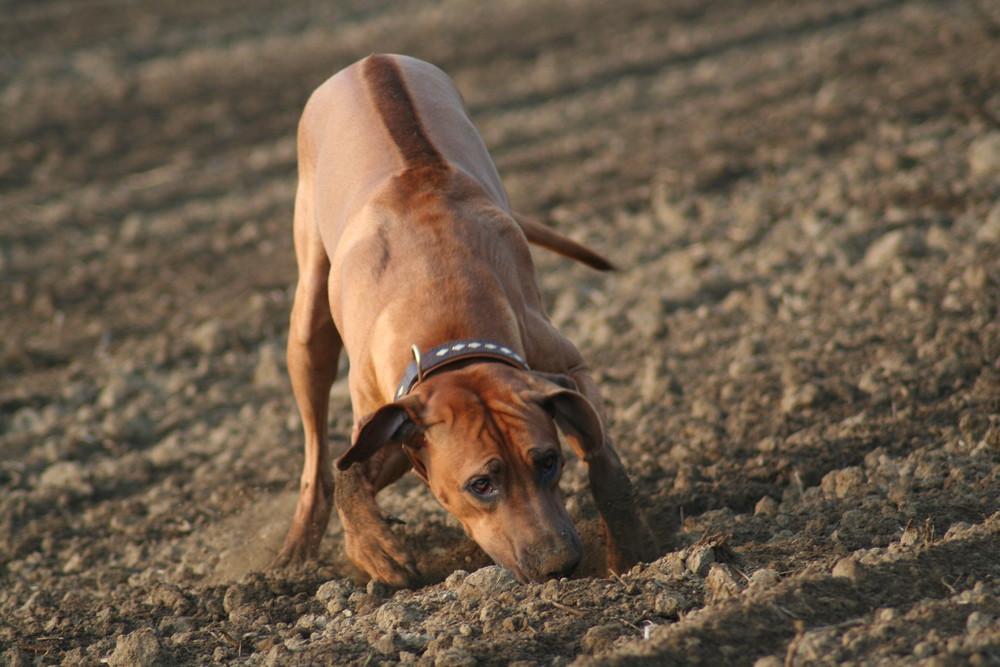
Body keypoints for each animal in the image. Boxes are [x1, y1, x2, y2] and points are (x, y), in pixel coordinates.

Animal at [274, 53, 652, 584]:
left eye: (549, 462)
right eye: (482, 485)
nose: (559, 565)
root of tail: (372, 59)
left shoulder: (561, 369)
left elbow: (602, 455)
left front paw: (631, 546)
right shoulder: (384, 417)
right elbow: (347, 473)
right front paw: (375, 547)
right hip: (309, 320)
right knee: (315, 456)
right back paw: (297, 549)